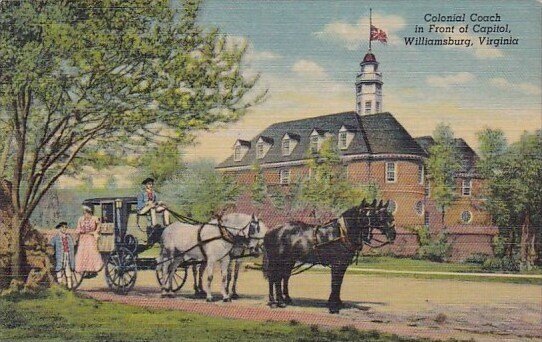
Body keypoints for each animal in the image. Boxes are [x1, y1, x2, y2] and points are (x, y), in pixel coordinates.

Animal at [262, 199, 396, 314]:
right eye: (366, 215)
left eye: (389, 216)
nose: (393, 234)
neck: (341, 234)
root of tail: (271, 230)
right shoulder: (337, 264)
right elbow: (335, 283)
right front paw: (333, 307)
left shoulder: (343, 265)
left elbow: (339, 283)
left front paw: (338, 302)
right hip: (277, 260)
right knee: (274, 278)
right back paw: (275, 302)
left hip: (288, 261)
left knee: (282, 277)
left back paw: (284, 300)